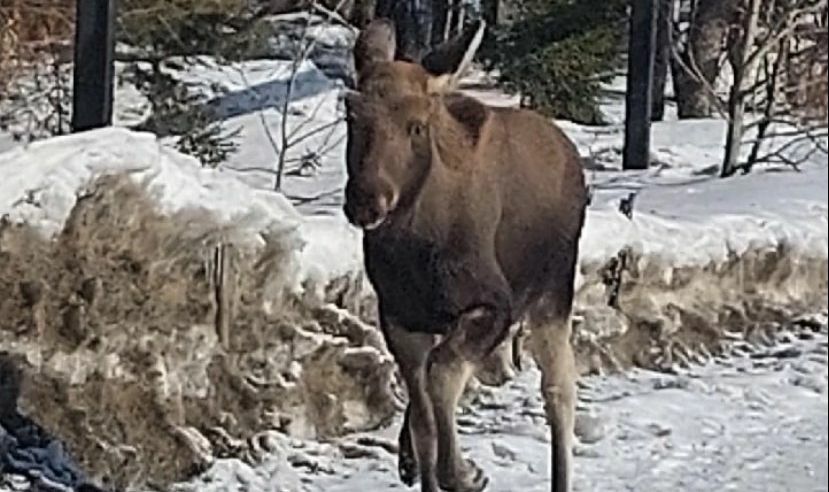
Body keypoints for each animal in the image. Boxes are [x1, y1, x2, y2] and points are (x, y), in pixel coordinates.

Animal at [342, 17, 588, 490]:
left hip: (553, 292)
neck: (415, 252)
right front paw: (426, 463)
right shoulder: (400, 317)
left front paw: (464, 472)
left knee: (559, 391)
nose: (365, 200)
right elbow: (423, 421)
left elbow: (442, 377)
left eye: (417, 125)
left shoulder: (494, 305)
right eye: (351, 114)